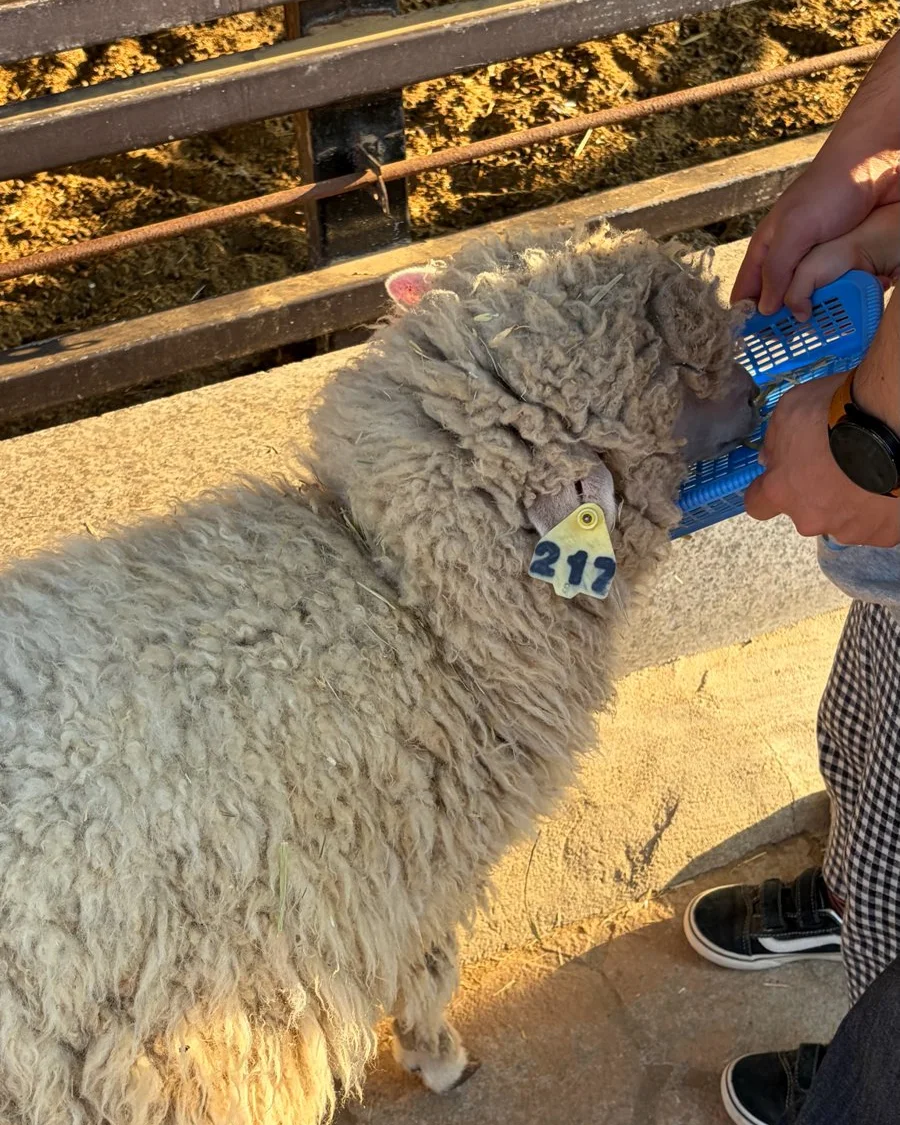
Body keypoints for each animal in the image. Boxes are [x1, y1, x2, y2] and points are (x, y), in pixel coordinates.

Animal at [0, 222, 756, 1125]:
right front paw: (439, 1056)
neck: (403, 593)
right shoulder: (408, 871)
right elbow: (429, 966)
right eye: (679, 368)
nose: (758, 395)